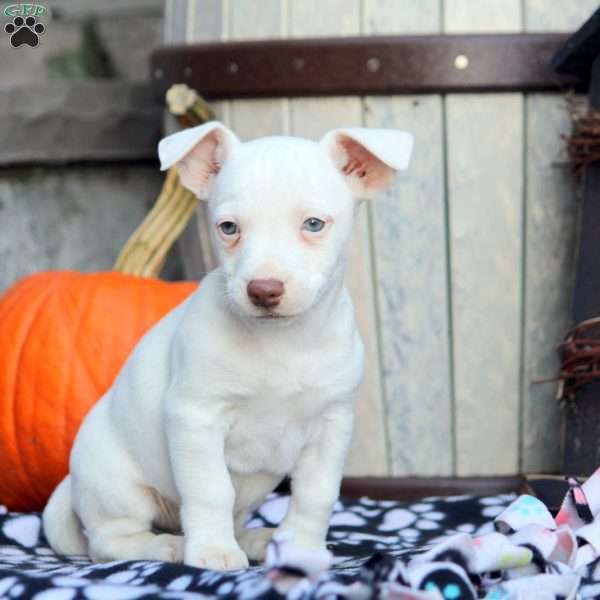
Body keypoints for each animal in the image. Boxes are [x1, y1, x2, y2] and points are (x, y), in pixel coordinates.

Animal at [42, 119, 412, 568]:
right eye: (229, 228)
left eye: (313, 224)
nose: (264, 289)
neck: (283, 341)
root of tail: (72, 482)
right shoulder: (196, 418)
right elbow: (211, 491)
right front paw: (213, 552)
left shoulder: (331, 425)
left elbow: (316, 495)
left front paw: (303, 549)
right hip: (120, 489)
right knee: (108, 542)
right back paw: (168, 546)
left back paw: (259, 541)